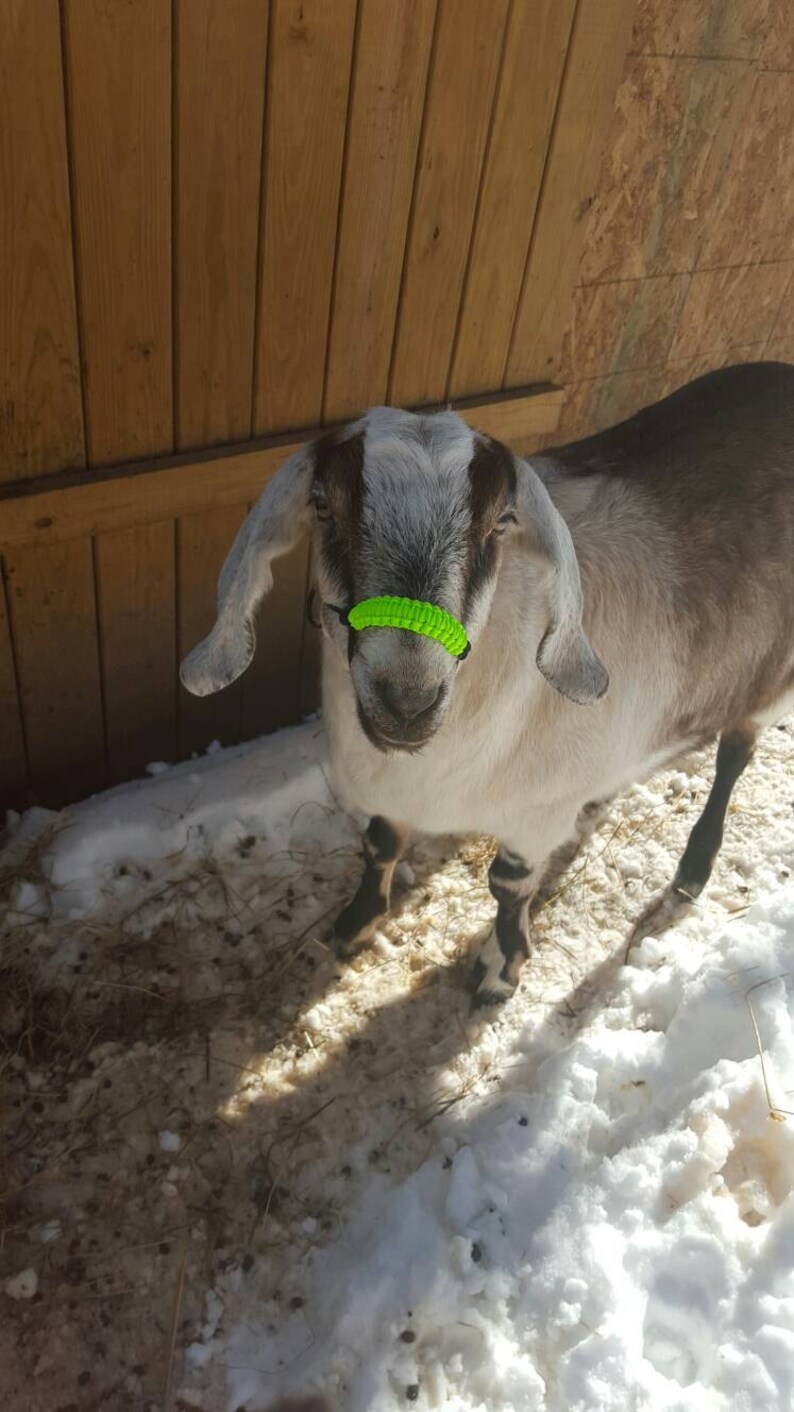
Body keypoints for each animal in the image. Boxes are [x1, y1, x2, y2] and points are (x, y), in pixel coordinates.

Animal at [181, 362, 794, 1008]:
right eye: (323, 506)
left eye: (501, 522)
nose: (407, 700)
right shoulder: (397, 792)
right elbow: (380, 843)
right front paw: (355, 925)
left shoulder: (535, 814)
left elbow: (508, 885)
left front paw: (500, 971)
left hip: (773, 681)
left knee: (734, 757)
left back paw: (693, 871)